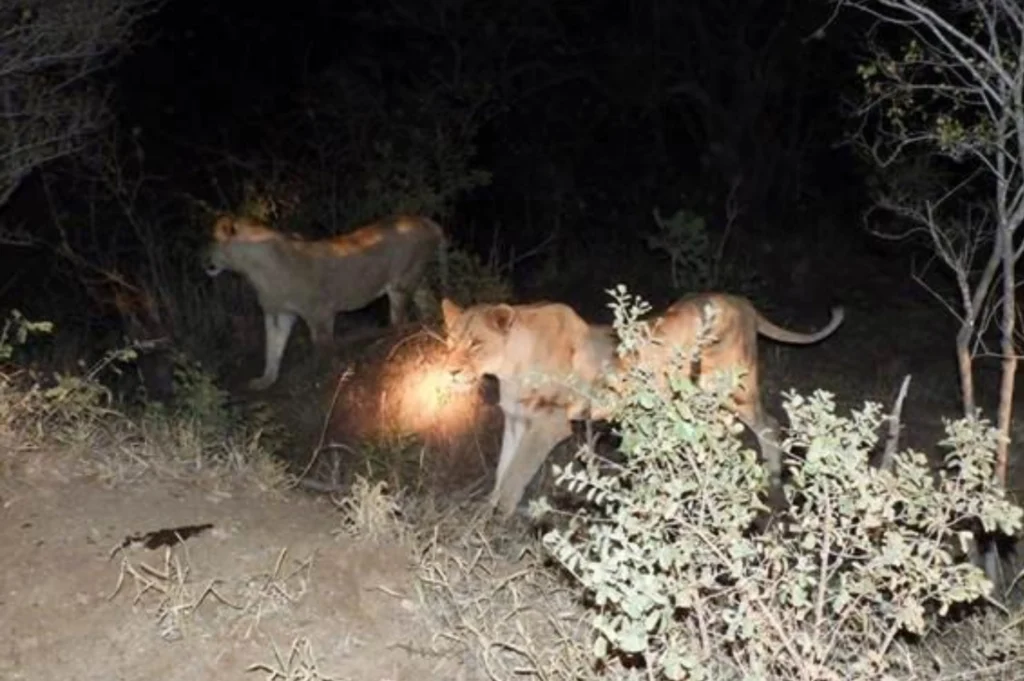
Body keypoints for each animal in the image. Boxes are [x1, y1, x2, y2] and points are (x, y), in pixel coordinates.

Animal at [205, 213, 447, 390]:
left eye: (212, 242)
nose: (203, 261)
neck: (254, 269)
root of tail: (429, 222)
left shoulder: (320, 312)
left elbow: (323, 346)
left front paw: (324, 378)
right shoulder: (279, 313)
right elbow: (272, 348)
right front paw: (266, 380)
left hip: (400, 285)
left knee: (400, 322)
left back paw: (389, 348)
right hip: (418, 282)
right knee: (429, 306)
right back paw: (429, 332)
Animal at [440, 293, 844, 517]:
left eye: (476, 343)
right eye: (451, 341)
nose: (451, 370)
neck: (509, 367)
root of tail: (742, 303)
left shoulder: (548, 423)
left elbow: (517, 473)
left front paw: (499, 519)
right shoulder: (516, 420)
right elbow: (503, 467)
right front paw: (487, 508)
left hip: (732, 391)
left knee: (769, 424)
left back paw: (771, 483)